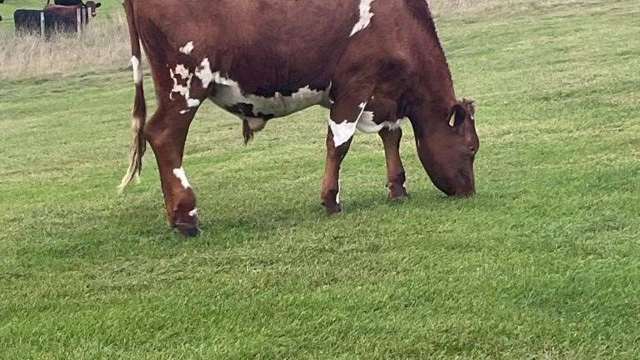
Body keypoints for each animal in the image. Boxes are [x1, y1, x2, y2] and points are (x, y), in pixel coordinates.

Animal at [120, 0, 480, 236]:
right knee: (164, 135)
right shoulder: (354, 86)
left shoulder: (384, 95)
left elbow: (392, 136)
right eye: (472, 149)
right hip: (185, 81)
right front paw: (332, 200)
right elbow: (339, 144)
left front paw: (398, 189)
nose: (469, 192)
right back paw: (187, 217)